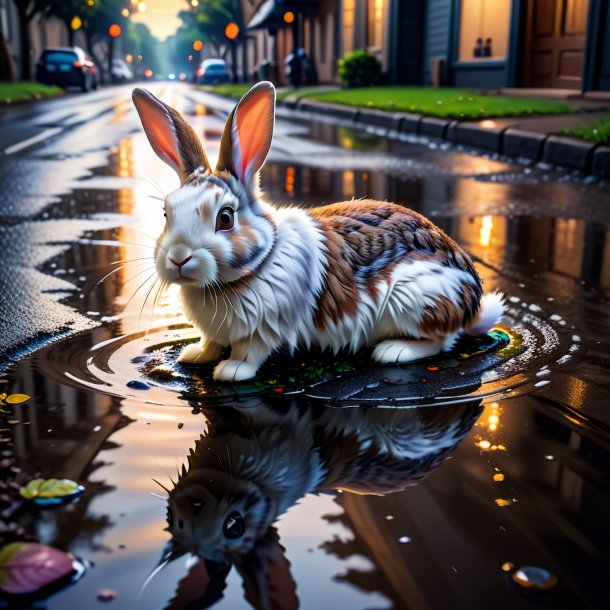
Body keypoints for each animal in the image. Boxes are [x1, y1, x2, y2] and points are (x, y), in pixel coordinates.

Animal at [133, 81, 504, 380]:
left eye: (225, 218)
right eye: (166, 213)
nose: (179, 258)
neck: (251, 269)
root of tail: (472, 301)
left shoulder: (264, 330)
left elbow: (248, 353)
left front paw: (231, 371)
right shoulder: (217, 330)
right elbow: (210, 342)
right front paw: (194, 355)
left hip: (417, 296)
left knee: (441, 340)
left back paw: (393, 351)